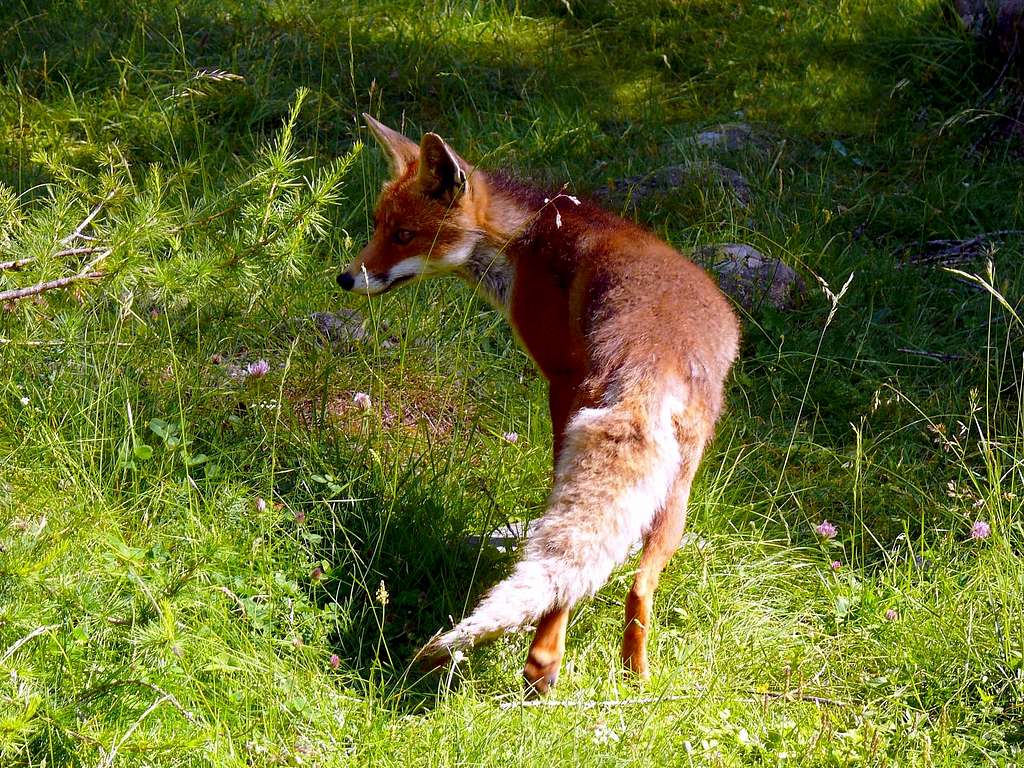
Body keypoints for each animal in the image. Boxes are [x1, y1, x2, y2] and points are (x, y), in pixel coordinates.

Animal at [339, 114, 741, 696]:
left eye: (404, 235)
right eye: (376, 226)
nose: (346, 278)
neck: (527, 238)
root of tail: (658, 356)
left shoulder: (559, 379)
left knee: (564, 582)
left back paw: (543, 666)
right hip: (678, 491)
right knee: (638, 586)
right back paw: (636, 679)